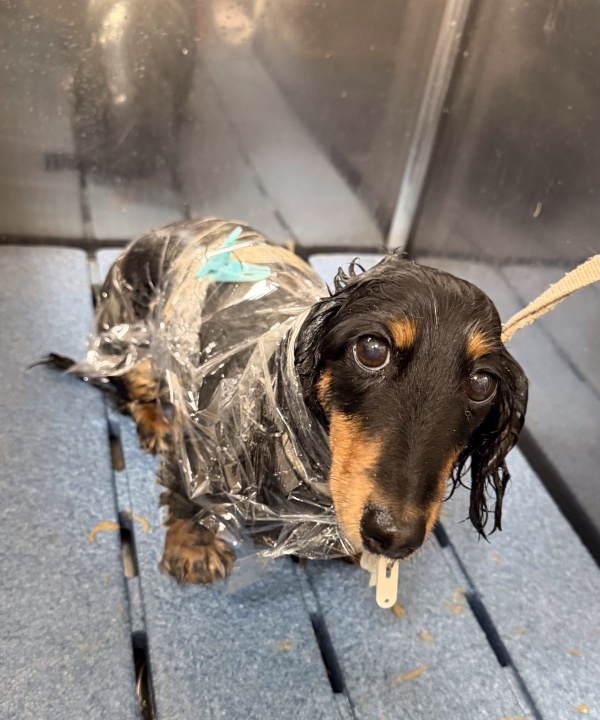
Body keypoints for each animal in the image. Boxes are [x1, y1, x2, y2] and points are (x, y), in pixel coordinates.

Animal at [89, 218, 528, 584]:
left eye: (482, 384)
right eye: (372, 349)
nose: (394, 536)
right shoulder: (201, 436)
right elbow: (185, 487)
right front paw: (194, 543)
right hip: (131, 337)